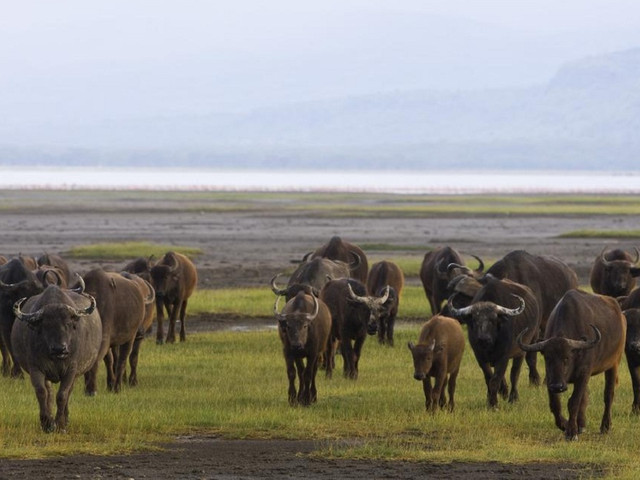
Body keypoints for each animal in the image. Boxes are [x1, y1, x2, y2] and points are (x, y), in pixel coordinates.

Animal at [10, 284, 101, 434]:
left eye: (68, 324)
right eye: (46, 325)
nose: (60, 349)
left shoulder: (71, 370)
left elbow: (62, 395)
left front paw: (60, 424)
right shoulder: (36, 369)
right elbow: (42, 392)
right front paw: (47, 423)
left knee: (67, 393)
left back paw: (65, 418)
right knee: (49, 394)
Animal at [82, 268, 147, 396]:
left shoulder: (105, 338)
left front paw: (93, 388)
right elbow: (108, 360)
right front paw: (108, 384)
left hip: (130, 337)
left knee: (122, 360)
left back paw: (118, 386)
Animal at [448, 276, 544, 406]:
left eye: (493, 320)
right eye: (475, 320)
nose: (483, 338)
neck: (490, 345)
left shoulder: (503, 357)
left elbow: (496, 379)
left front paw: (493, 403)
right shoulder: (480, 357)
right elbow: (489, 377)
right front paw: (491, 398)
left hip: (528, 343)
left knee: (518, 371)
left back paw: (514, 397)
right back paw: (504, 392)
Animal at [520, 290, 624, 440]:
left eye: (566, 358)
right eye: (548, 358)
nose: (558, 386)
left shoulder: (583, 374)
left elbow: (574, 402)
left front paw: (571, 432)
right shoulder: (551, 378)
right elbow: (555, 404)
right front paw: (564, 424)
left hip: (614, 363)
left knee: (608, 395)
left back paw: (605, 426)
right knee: (585, 397)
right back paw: (581, 424)